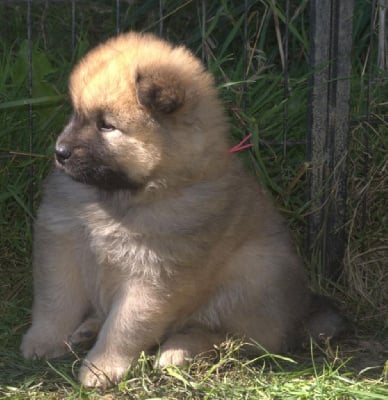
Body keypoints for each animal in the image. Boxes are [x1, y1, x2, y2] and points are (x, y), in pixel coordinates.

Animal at [20, 31, 342, 388]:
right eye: (76, 114)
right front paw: (43, 341)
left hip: (253, 274)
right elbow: (55, 303)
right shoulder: (60, 242)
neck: (127, 196)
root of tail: (301, 315)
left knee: (229, 338)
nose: (60, 152)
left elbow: (124, 327)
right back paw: (89, 329)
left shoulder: (154, 276)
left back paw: (177, 351)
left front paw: (101, 368)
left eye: (107, 126)